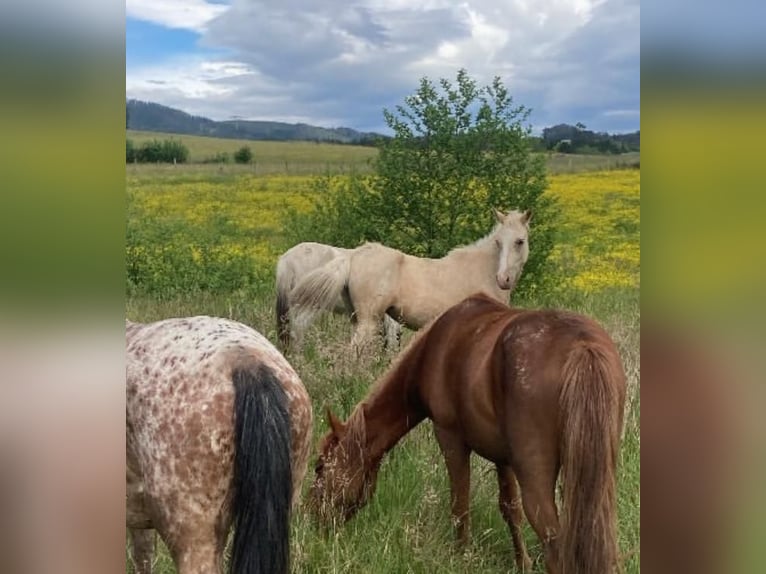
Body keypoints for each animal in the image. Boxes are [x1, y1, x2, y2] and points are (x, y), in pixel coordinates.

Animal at [288, 209, 536, 354]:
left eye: (519, 241)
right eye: (498, 242)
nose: (503, 279)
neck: (483, 272)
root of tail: (353, 256)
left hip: (357, 320)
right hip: (368, 322)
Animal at [312, 294, 632, 572]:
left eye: (320, 467)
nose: (313, 516)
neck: (433, 348)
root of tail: (581, 347)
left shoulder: (450, 438)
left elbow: (460, 505)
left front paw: (461, 556)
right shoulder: (503, 458)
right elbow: (510, 508)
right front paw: (523, 564)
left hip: (536, 474)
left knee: (554, 545)